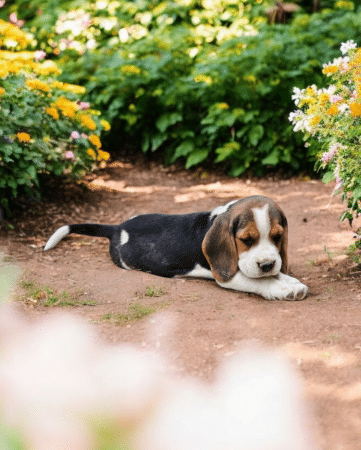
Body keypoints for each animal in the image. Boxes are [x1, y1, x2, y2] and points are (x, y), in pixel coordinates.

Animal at [43, 195, 306, 300]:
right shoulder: (227, 275)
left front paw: (289, 280)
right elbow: (260, 281)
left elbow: (275, 275)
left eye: (277, 236)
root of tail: (117, 228)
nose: (267, 264)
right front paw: (283, 289)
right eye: (246, 240)